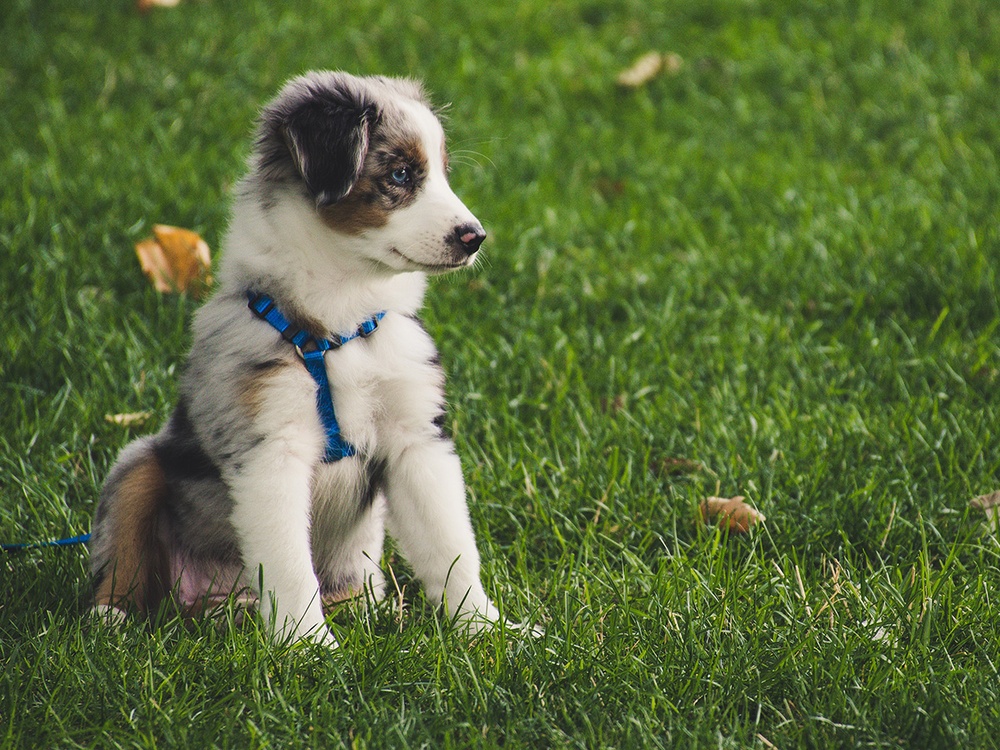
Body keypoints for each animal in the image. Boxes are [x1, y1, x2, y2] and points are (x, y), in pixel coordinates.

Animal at [90, 72, 504, 648]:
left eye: (443, 174)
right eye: (400, 173)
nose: (475, 238)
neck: (341, 323)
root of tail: (213, 601)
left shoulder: (417, 438)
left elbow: (451, 546)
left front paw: (490, 632)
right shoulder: (270, 448)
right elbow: (288, 564)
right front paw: (309, 648)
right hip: (138, 464)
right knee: (122, 551)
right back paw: (112, 619)